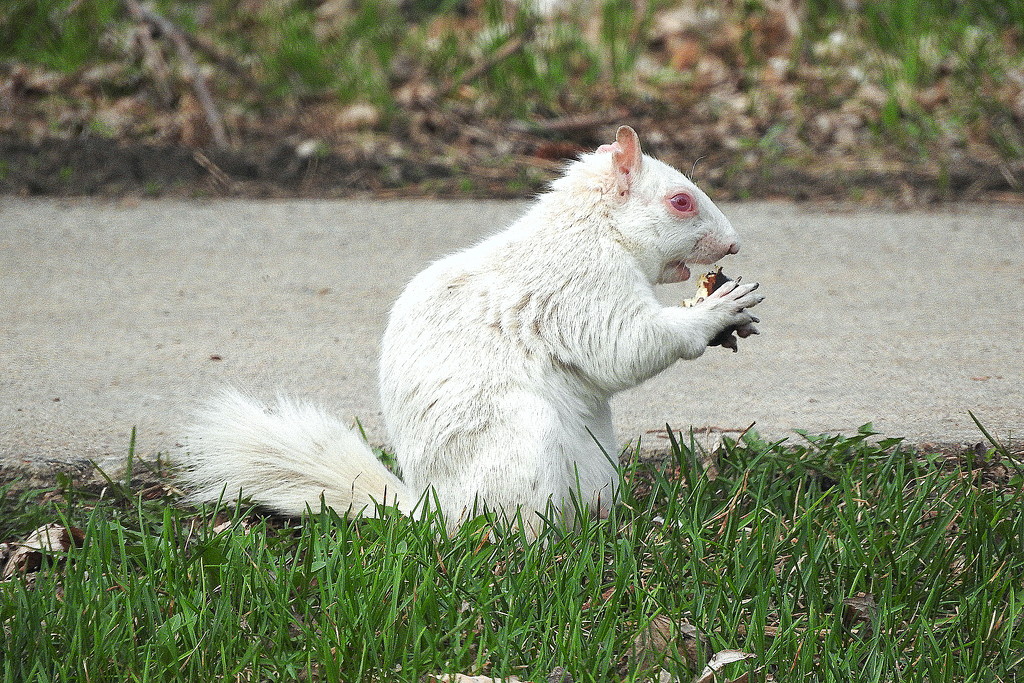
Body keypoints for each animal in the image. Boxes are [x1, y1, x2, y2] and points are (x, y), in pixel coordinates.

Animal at [180, 125, 765, 536]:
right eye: (680, 201)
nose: (735, 245)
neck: (595, 230)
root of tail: (436, 511)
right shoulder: (578, 285)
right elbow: (625, 345)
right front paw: (717, 312)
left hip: (597, 463)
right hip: (521, 448)